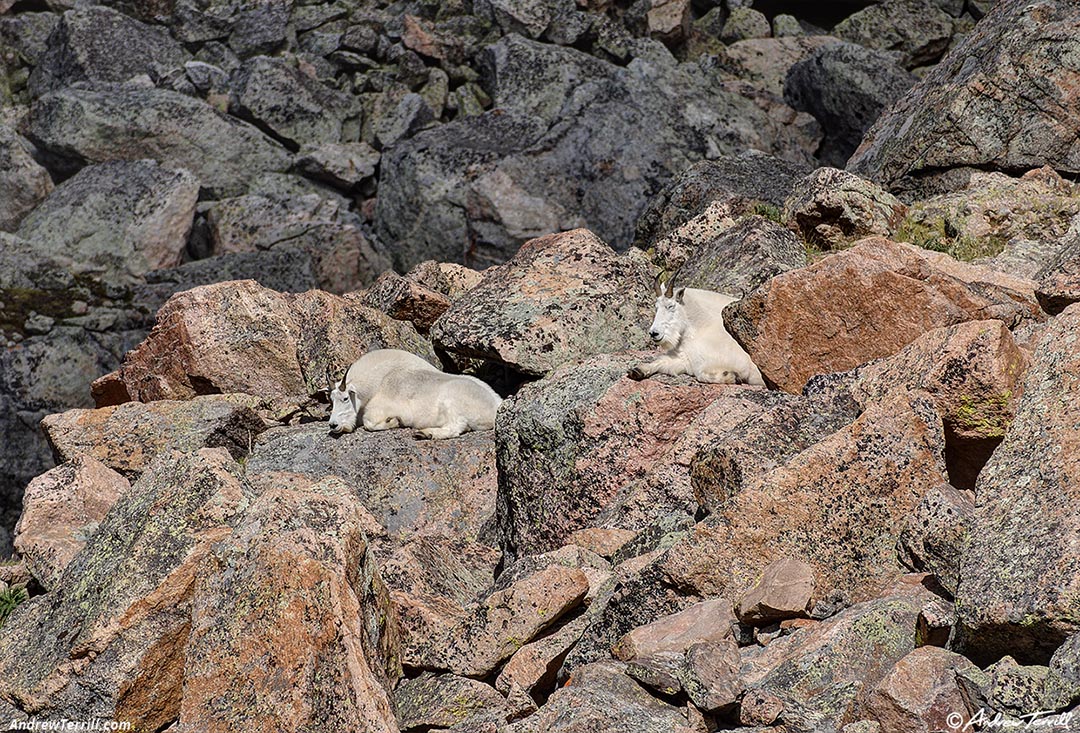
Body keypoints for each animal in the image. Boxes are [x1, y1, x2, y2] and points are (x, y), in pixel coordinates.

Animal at [324, 347, 501, 438]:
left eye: (346, 398)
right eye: (331, 400)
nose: (333, 424)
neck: (378, 382)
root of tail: (494, 408)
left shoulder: (383, 409)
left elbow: (369, 424)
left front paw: (395, 422)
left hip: (451, 402)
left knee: (455, 428)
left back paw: (425, 433)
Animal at [626, 278, 768, 386]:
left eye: (671, 306)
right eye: (656, 307)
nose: (654, 333)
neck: (703, 326)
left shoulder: (741, 366)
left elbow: (701, 375)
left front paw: (731, 376)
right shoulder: (685, 359)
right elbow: (660, 362)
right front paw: (637, 371)